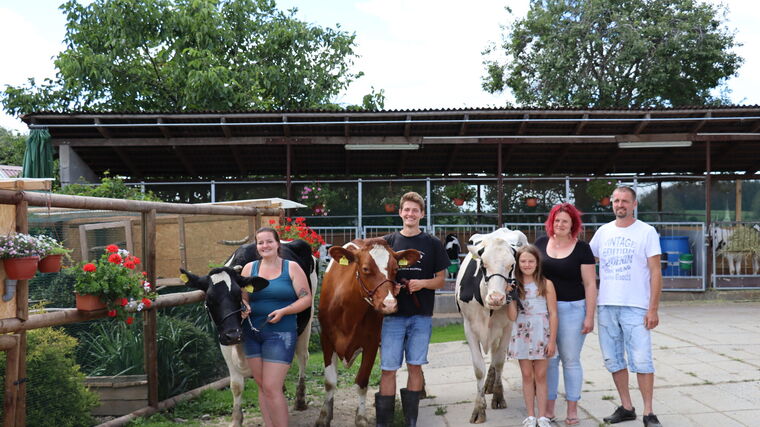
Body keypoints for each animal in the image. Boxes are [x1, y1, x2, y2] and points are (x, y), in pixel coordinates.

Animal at [182, 241, 318, 427]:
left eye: (239, 295)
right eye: (209, 299)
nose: (233, 335)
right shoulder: (224, 343)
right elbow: (236, 385)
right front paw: (236, 420)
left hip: (307, 317)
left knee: (303, 357)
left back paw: (300, 400)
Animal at [316, 239, 422, 427]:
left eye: (396, 269)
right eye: (365, 269)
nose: (389, 304)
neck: (348, 312)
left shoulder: (371, 342)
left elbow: (362, 382)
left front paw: (361, 418)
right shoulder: (326, 338)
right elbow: (330, 382)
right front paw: (324, 417)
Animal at [454, 229, 524, 422]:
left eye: (512, 265)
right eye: (483, 264)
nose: (496, 298)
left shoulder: (507, 327)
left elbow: (499, 361)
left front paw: (498, 397)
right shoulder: (468, 327)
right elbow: (479, 368)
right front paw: (479, 409)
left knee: (495, 355)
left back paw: (492, 385)